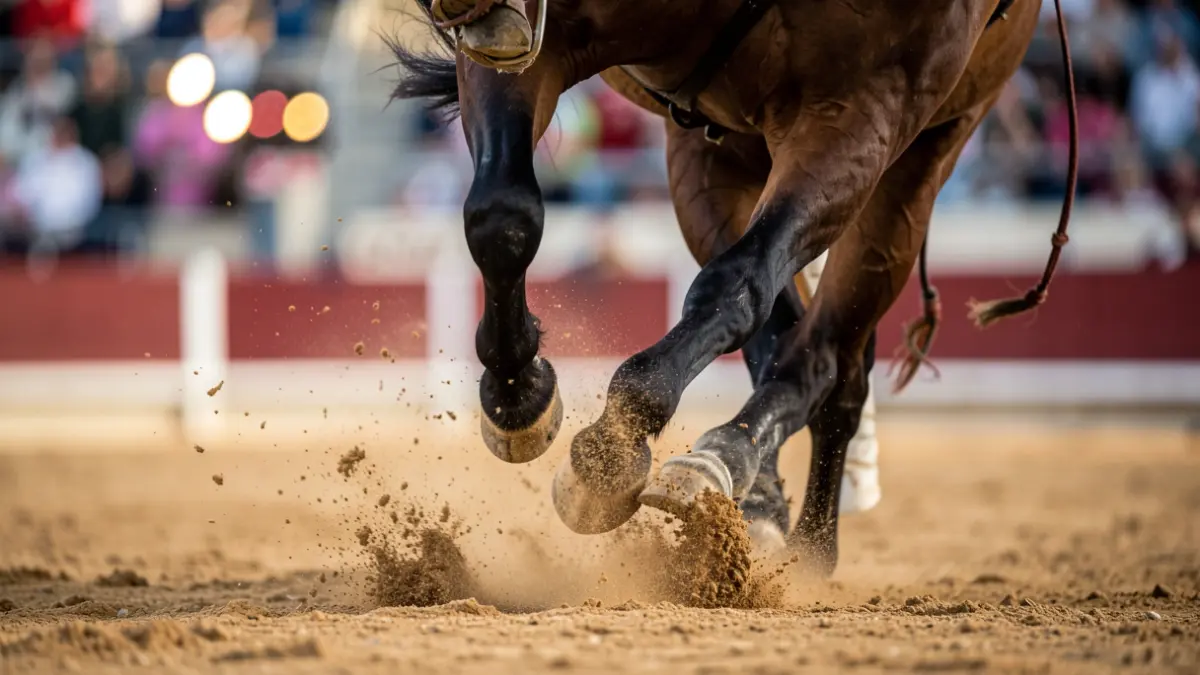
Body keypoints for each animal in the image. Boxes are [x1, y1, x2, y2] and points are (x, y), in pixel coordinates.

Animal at [387, 0, 1077, 574]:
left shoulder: (866, 112)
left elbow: (739, 288)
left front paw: (613, 450)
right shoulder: (541, 39)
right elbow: (502, 216)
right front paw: (518, 395)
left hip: (917, 162)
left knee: (825, 357)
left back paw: (771, 505)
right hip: (725, 149)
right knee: (788, 333)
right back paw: (759, 498)